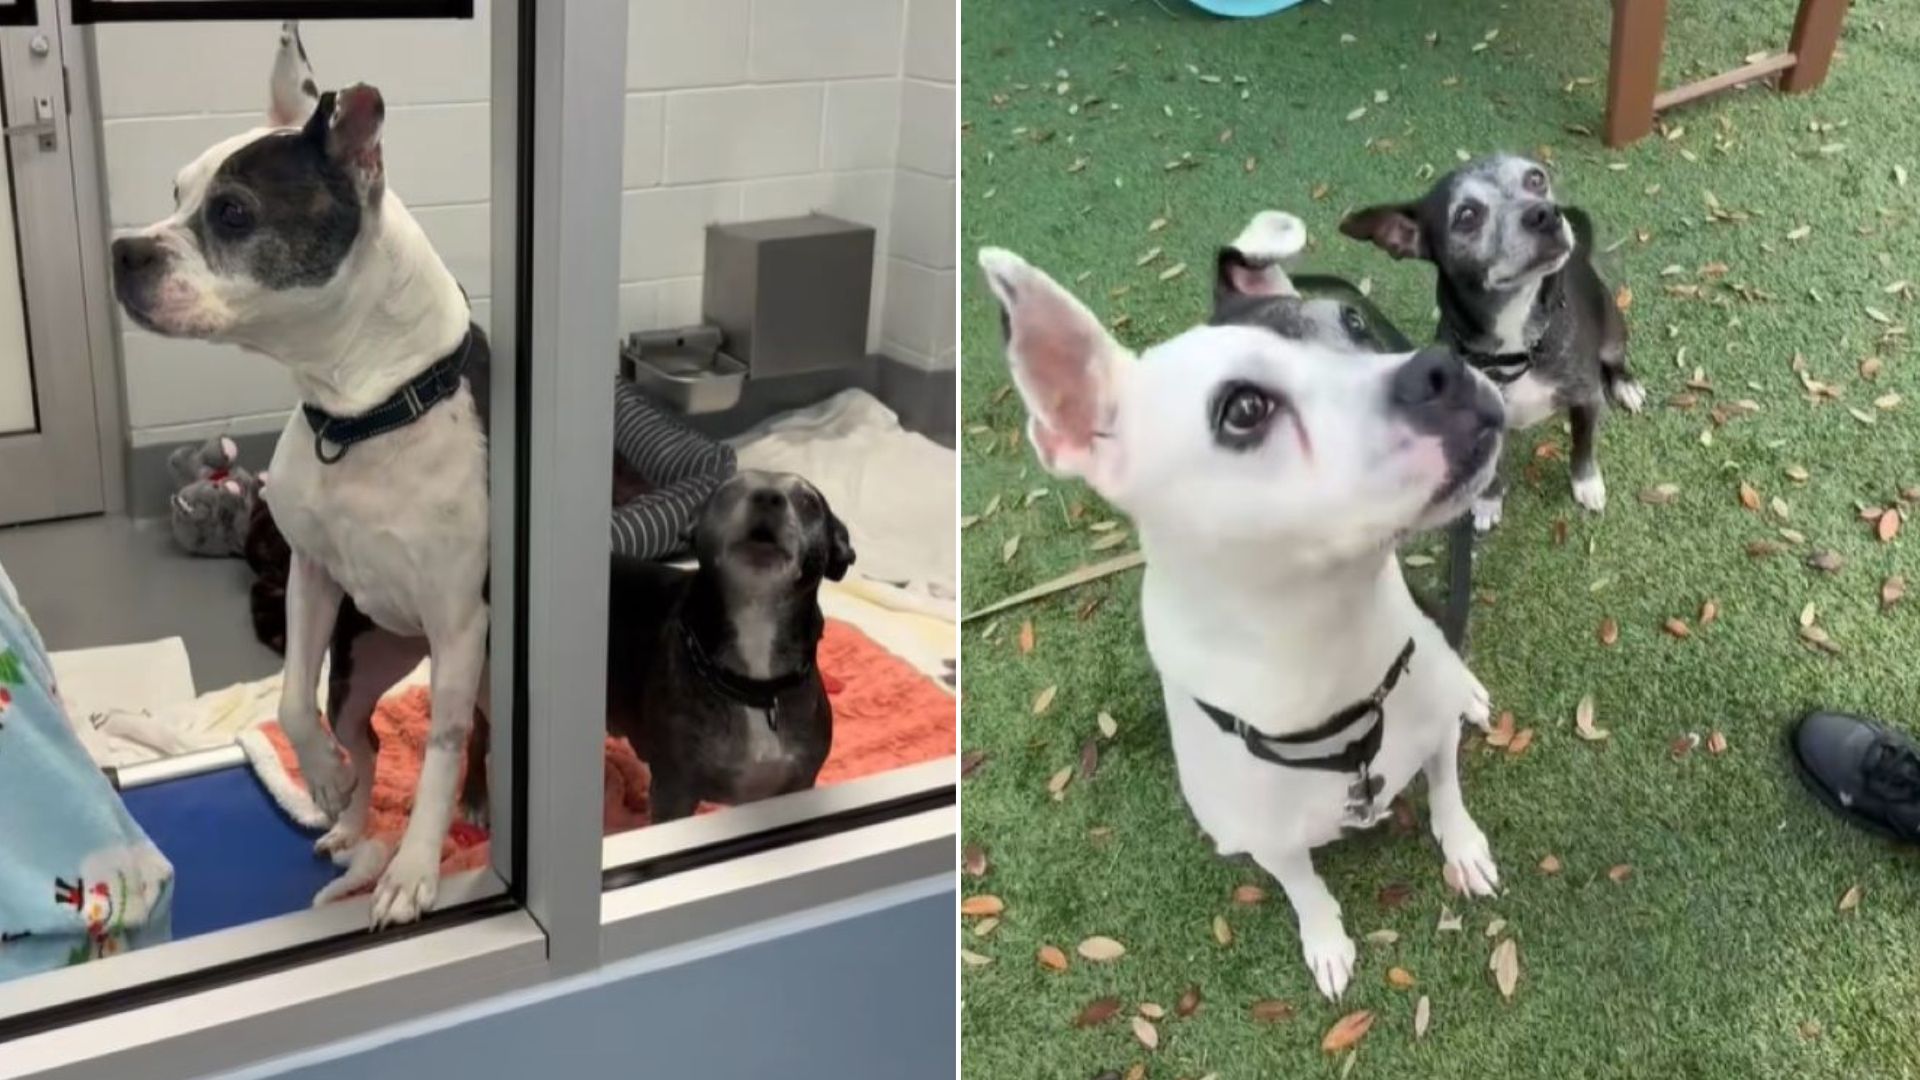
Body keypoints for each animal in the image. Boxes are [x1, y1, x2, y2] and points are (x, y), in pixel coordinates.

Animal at [110, 23, 495, 926]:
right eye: (175, 191)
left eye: (233, 212)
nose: (122, 251)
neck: (362, 414)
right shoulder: (313, 576)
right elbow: (290, 699)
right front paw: (322, 778)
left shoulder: (461, 623)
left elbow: (440, 749)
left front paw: (414, 868)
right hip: (362, 657)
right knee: (364, 733)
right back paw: (351, 823)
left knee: (475, 734)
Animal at [983, 222, 1505, 999]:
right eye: (1244, 411)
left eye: (1352, 324)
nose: (1439, 369)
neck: (1328, 649)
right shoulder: (1270, 842)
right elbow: (1305, 889)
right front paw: (1326, 941)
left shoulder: (1433, 734)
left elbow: (1447, 791)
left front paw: (1463, 846)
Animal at [1344, 155, 1643, 530]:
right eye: (1467, 215)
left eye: (1536, 179)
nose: (1546, 213)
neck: (1516, 346)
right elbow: (1491, 471)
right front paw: (1487, 501)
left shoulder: (1587, 398)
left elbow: (1583, 446)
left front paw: (1586, 483)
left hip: (1613, 333)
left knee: (1615, 361)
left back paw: (1626, 385)